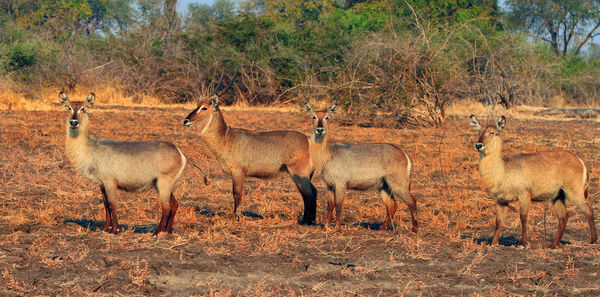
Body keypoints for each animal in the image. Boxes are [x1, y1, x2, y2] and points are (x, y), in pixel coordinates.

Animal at [59, 91, 186, 235]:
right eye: (69, 108)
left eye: (83, 109)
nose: (73, 122)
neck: (90, 148)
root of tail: (179, 152)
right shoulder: (102, 184)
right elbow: (106, 205)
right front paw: (105, 228)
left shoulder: (110, 182)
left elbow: (112, 205)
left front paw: (114, 230)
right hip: (162, 185)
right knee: (174, 204)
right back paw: (167, 231)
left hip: (163, 183)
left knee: (166, 207)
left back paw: (156, 233)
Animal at [182, 82, 318, 223]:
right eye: (197, 105)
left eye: (204, 108)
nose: (186, 121)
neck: (226, 137)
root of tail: (308, 141)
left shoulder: (238, 172)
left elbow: (237, 194)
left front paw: (236, 217)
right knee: (307, 194)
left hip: (299, 173)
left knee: (311, 193)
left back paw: (308, 222)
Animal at [472, 114, 596, 246]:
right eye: (479, 131)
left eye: (492, 132)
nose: (478, 145)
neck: (503, 169)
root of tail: (580, 160)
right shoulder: (500, 200)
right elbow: (498, 222)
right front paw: (493, 243)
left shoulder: (524, 194)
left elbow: (523, 218)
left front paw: (522, 243)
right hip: (557, 196)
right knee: (564, 216)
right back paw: (553, 245)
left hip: (574, 192)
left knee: (589, 210)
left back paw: (593, 241)